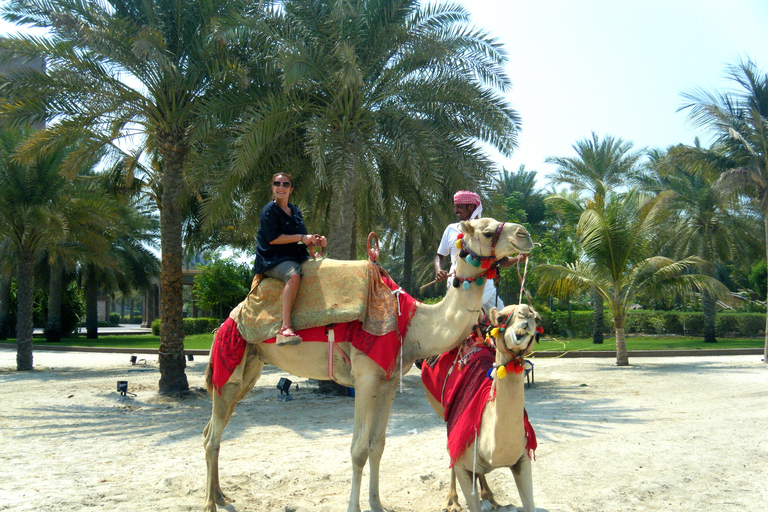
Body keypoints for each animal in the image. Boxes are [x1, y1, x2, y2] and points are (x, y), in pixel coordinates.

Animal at [420, 304, 540, 512]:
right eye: (500, 318)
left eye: (538, 318)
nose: (526, 312)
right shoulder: (462, 461)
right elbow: (457, 461)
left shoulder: (522, 458)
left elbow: (529, 503)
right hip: (443, 413)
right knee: (450, 450)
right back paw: (452, 501)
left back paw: (489, 497)